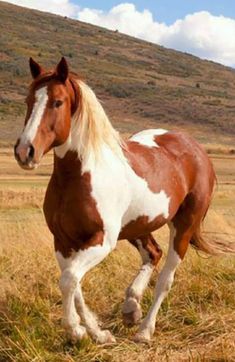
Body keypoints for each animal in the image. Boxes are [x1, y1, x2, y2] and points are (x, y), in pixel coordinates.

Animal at [14, 58, 233, 344]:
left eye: (57, 102)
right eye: (29, 100)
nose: (24, 152)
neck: (80, 175)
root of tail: (196, 149)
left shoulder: (102, 241)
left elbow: (69, 279)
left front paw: (76, 330)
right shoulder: (63, 242)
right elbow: (73, 283)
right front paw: (98, 333)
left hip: (183, 226)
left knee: (166, 278)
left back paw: (145, 330)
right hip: (139, 225)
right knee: (153, 253)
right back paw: (131, 307)